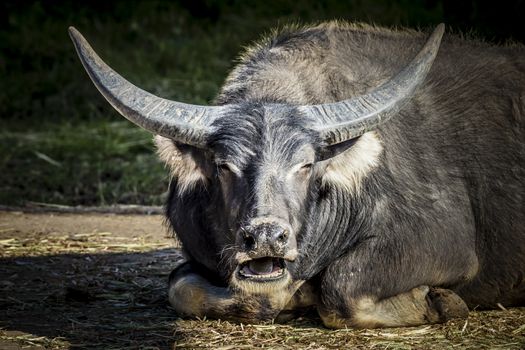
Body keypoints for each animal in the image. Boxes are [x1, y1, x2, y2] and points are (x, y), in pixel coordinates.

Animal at [69, 21, 524, 328]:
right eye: (224, 166)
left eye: (305, 165)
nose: (266, 237)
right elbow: (184, 289)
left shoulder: (445, 244)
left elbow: (343, 288)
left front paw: (441, 303)